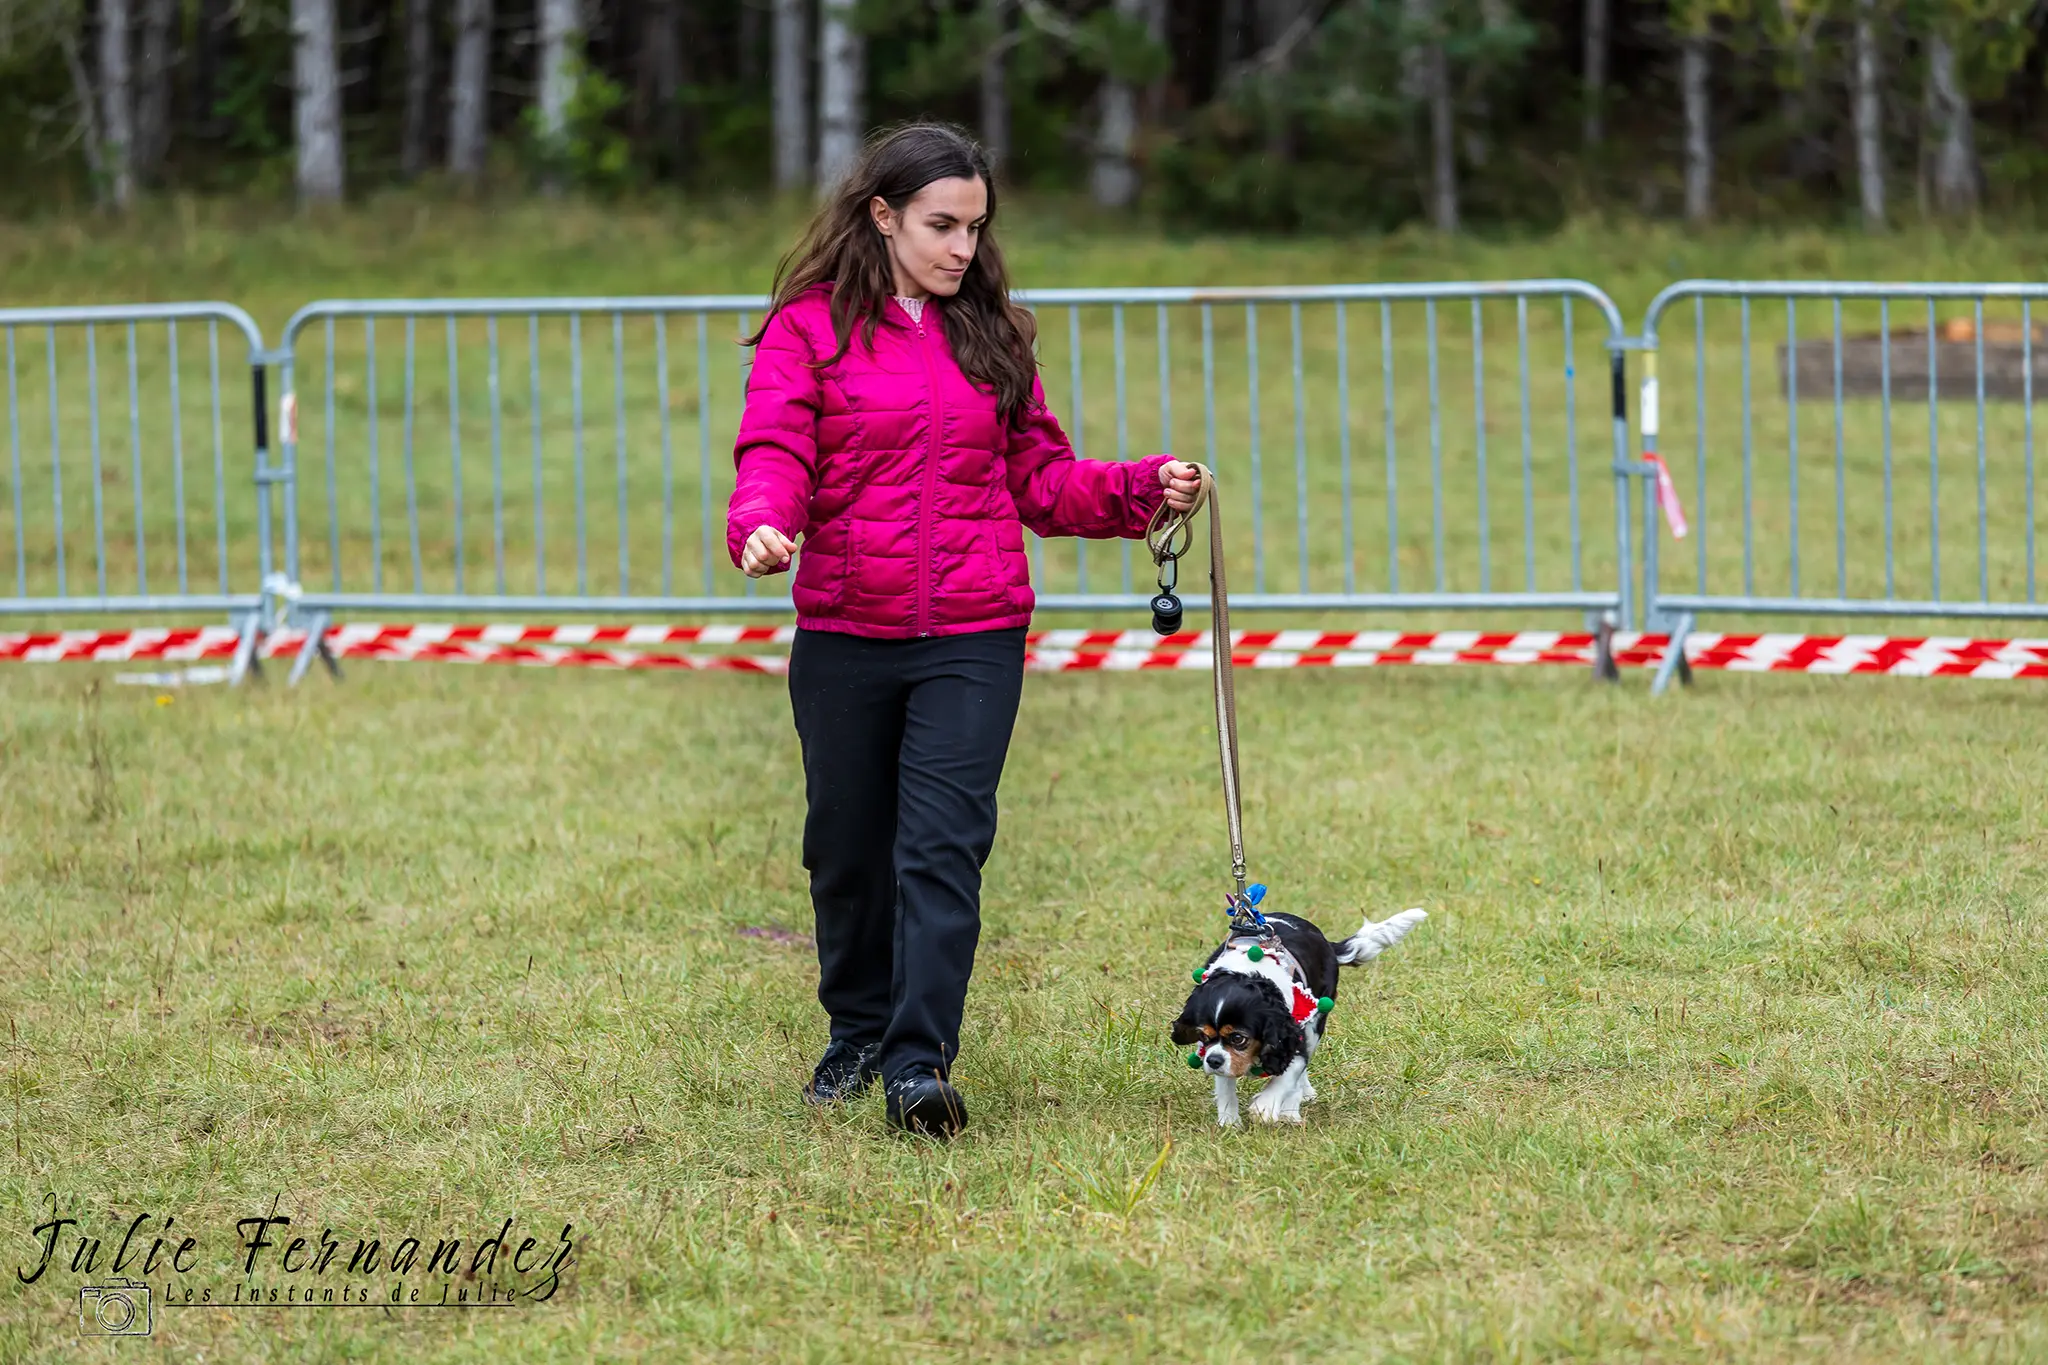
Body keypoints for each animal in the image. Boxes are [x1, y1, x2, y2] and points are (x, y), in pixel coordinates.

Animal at [1171, 908, 1425, 1121]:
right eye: (1203, 1036)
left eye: (1238, 1038)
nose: (1212, 1061)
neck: (1248, 971)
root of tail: (1326, 942)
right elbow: (1225, 1086)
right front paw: (1229, 1124)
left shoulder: (1293, 1031)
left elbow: (1290, 1072)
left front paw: (1266, 1106)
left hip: (1316, 1020)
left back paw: (1291, 1112)